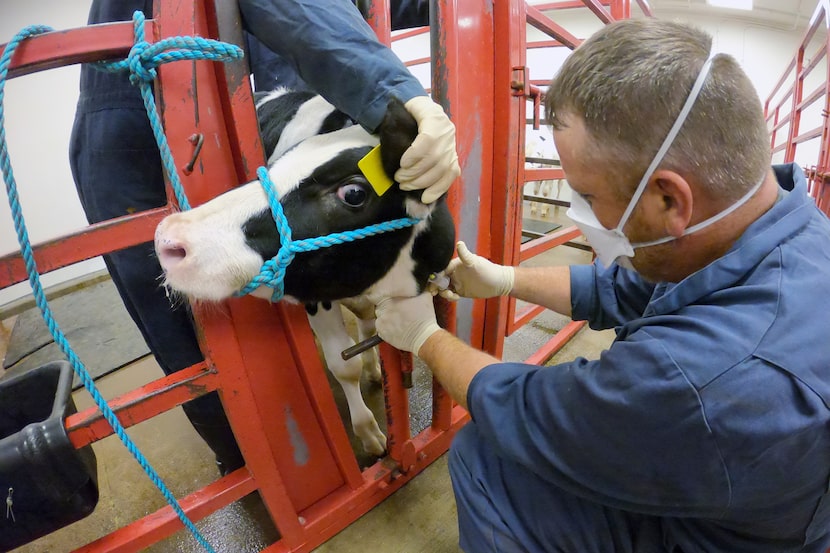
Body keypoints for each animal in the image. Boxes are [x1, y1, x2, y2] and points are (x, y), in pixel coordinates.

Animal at [154, 88, 456, 454]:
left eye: (354, 192)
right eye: (275, 163)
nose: (169, 238)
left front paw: (374, 375)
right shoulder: (316, 297)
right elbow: (345, 364)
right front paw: (368, 434)